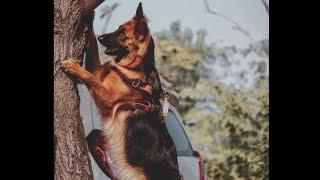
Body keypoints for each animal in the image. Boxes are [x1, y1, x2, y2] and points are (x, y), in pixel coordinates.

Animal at [61, 2, 182, 180]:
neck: (131, 68)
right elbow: (92, 48)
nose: (101, 38)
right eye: (117, 28)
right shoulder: (98, 70)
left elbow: (90, 78)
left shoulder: (106, 95)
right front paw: (90, 16)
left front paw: (74, 67)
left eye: (123, 34)